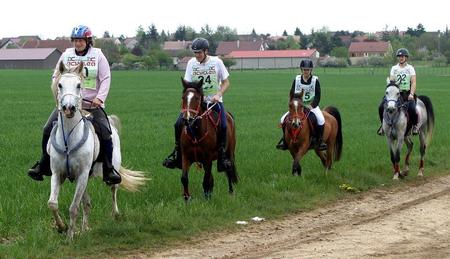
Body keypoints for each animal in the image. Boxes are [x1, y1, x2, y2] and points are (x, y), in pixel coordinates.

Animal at [48, 62, 149, 241]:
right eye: (59, 84)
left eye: (79, 85)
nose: (68, 108)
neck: (69, 140)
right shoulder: (57, 173)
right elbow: (53, 203)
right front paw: (62, 227)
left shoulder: (82, 174)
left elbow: (73, 207)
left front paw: (69, 237)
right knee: (87, 203)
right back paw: (85, 228)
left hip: (111, 169)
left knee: (114, 189)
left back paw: (115, 215)